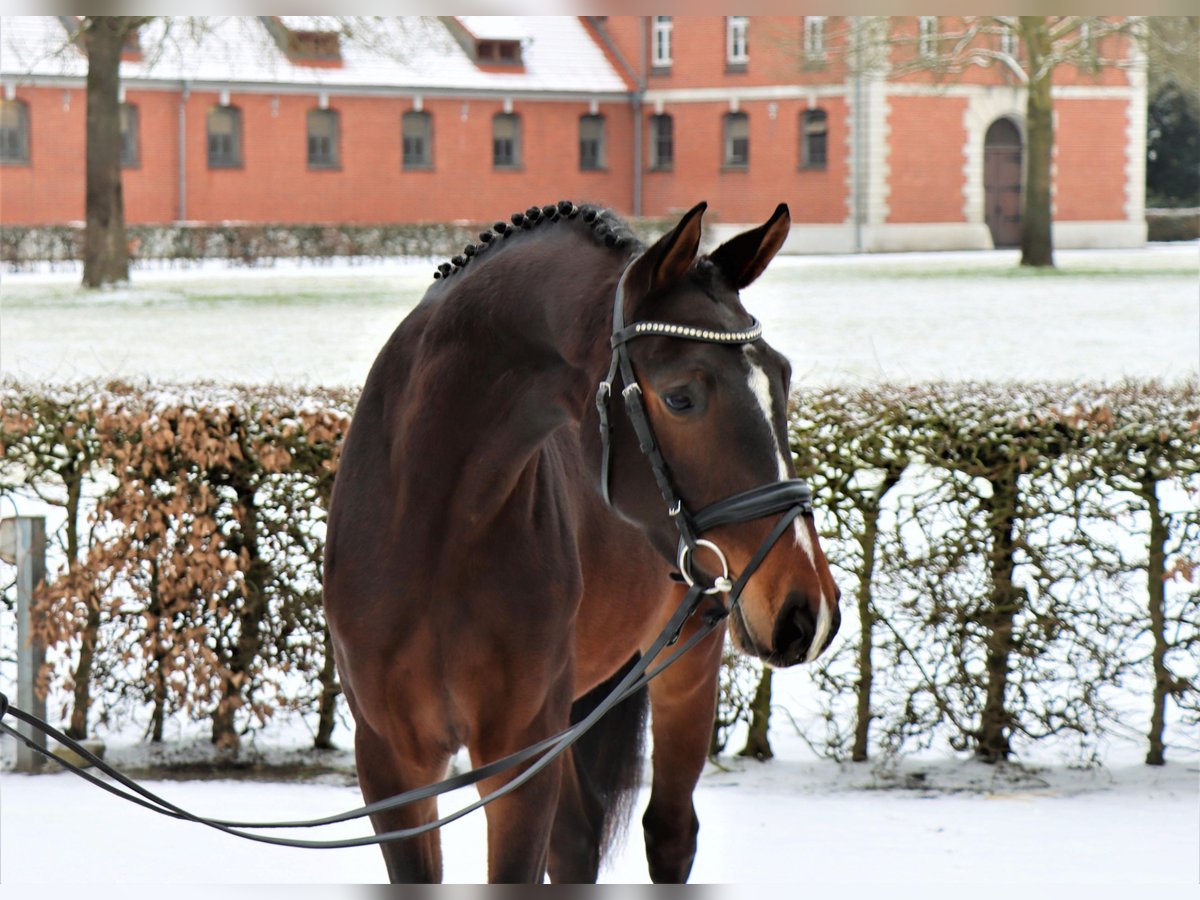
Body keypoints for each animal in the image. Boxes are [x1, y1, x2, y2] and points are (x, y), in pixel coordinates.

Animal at [324, 200, 840, 883]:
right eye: (681, 396)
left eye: (781, 377)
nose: (808, 609)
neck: (433, 535)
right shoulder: (392, 765)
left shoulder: (519, 759)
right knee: (575, 839)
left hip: (685, 669)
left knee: (668, 833)